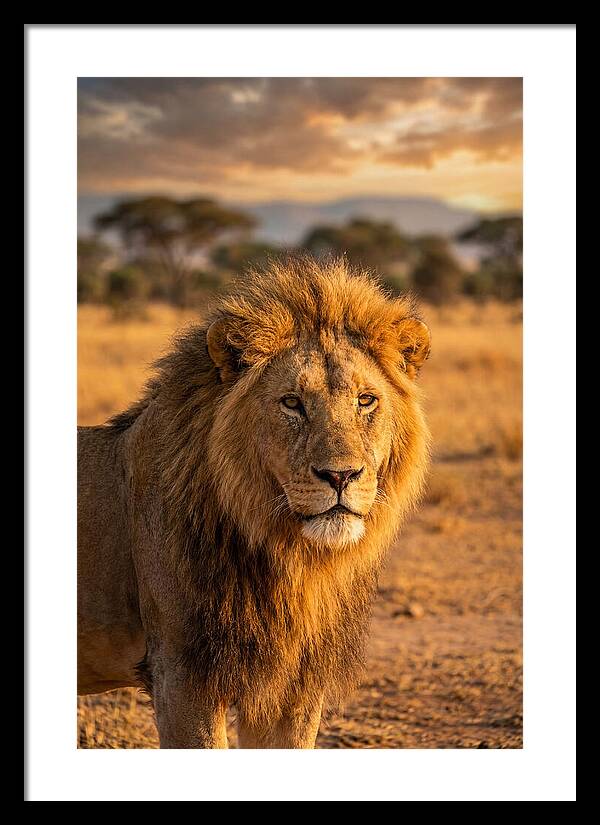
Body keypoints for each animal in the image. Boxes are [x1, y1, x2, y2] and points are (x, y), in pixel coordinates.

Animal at [77, 256, 431, 748]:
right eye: (292, 403)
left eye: (366, 400)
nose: (340, 476)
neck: (290, 559)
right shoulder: (181, 676)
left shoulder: (294, 686)